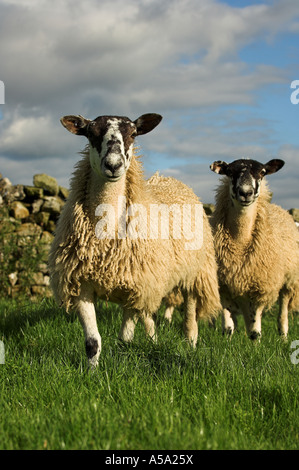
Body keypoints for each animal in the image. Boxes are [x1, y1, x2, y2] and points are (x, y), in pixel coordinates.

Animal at [49, 114, 221, 368]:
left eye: (133, 134)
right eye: (90, 133)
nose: (113, 165)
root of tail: (170, 179)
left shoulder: (136, 284)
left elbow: (126, 335)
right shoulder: (81, 284)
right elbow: (93, 342)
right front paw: (91, 371)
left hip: (195, 272)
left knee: (189, 315)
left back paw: (190, 344)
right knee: (146, 317)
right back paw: (152, 340)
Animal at [211, 160, 299, 340]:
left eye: (263, 172)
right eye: (229, 172)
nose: (246, 193)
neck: (241, 241)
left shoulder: (260, 289)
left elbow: (254, 332)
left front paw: (255, 343)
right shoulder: (223, 287)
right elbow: (228, 327)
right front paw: (228, 342)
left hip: (288, 282)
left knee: (283, 313)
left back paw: (283, 337)